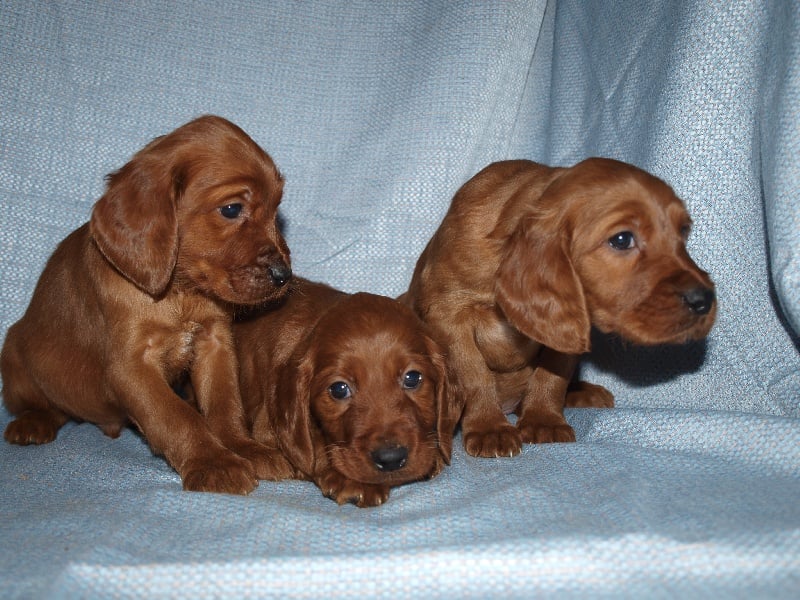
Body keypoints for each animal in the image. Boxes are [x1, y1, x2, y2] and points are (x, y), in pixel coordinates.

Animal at [0, 115, 294, 494]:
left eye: (276, 210)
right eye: (231, 209)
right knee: (47, 405)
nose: (284, 276)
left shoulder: (214, 343)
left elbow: (225, 404)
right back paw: (32, 423)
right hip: (14, 359)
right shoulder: (131, 366)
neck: (179, 293)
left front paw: (243, 447)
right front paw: (214, 462)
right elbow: (176, 416)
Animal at [234, 276, 462, 506]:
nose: (391, 459)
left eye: (412, 378)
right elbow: (312, 447)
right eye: (339, 389)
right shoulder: (266, 429)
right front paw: (353, 481)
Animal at [400, 157, 720, 458]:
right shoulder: (449, 316)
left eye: (683, 232)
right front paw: (489, 428)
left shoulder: (567, 322)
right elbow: (474, 376)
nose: (704, 301)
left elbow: (553, 373)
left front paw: (544, 420)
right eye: (622, 239)